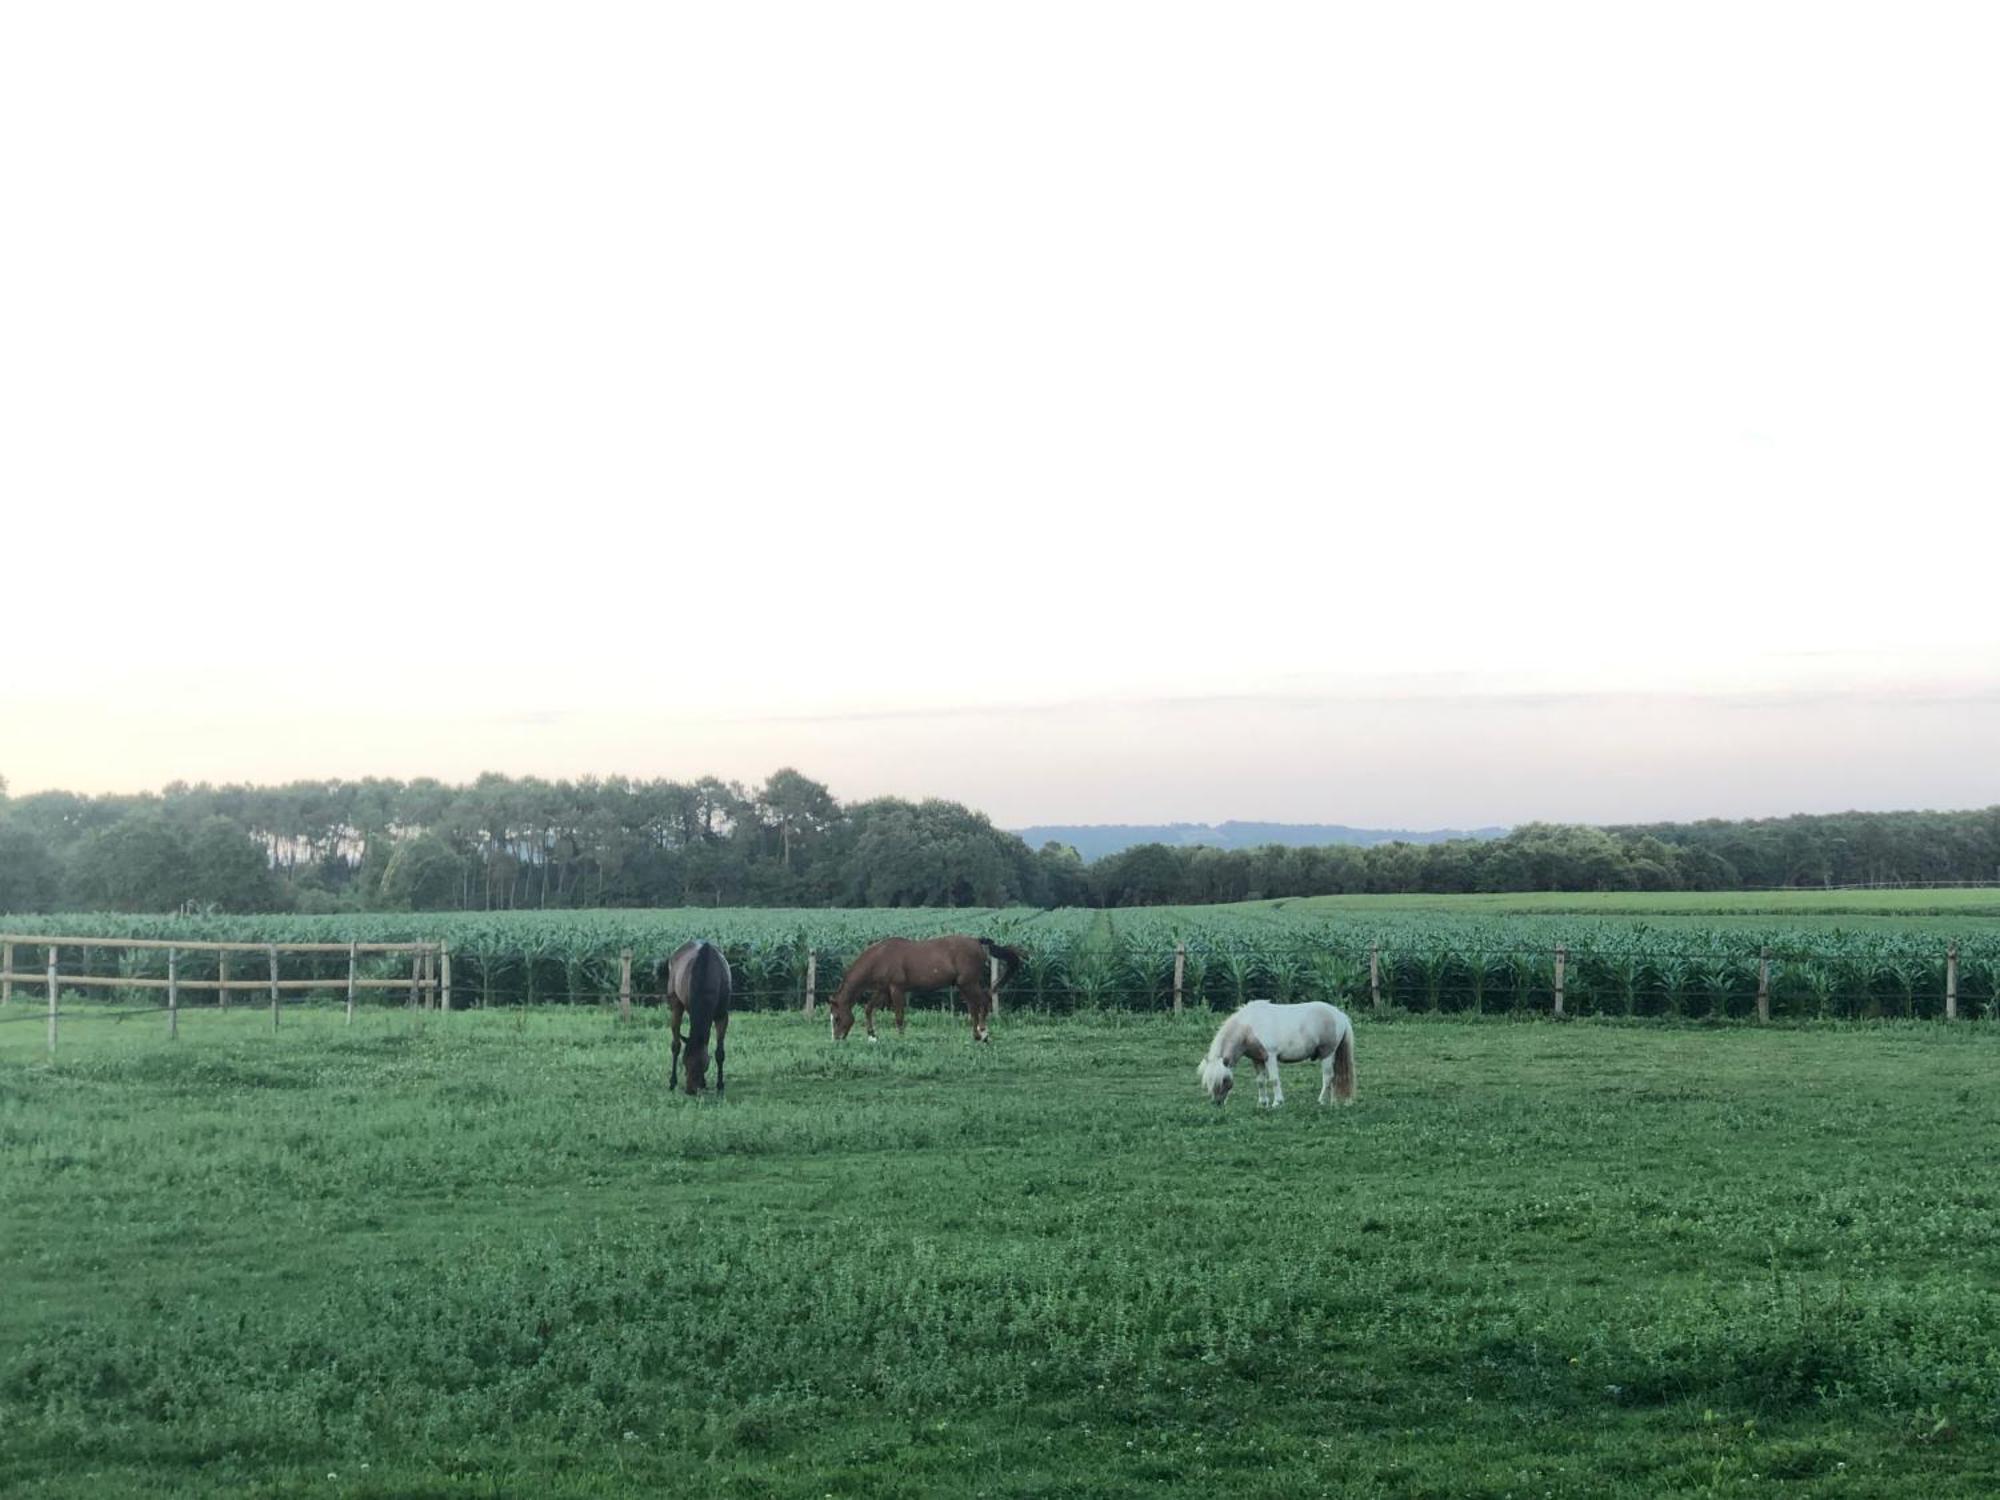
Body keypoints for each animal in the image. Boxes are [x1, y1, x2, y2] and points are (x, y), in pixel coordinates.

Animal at [664, 944, 736, 1096]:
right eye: (684, 1062)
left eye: (703, 1063)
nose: (690, 1090)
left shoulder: (722, 1015)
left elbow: (719, 1052)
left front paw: (719, 1085)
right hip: (675, 1004)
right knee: (676, 1045)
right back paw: (673, 1082)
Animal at [824, 940, 1024, 1048]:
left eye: (837, 1018)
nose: (836, 1040)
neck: (880, 957)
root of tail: (977, 941)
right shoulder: (882, 990)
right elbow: (868, 1008)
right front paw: (872, 1036)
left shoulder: (896, 989)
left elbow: (899, 1016)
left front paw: (901, 1038)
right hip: (963, 986)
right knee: (974, 1007)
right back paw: (976, 1035)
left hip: (970, 983)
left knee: (984, 1001)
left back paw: (984, 1034)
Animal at [1192, 1004, 1352, 1112]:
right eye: (1208, 1082)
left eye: (1224, 1080)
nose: (1217, 1103)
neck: (1249, 1028)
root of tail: (1339, 1015)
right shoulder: (1257, 1060)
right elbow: (1260, 1082)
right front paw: (1262, 1103)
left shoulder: (1270, 1057)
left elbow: (1274, 1080)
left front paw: (1277, 1103)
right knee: (1334, 1078)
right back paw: (1332, 1102)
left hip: (1327, 1054)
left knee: (1328, 1077)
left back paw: (1321, 1101)